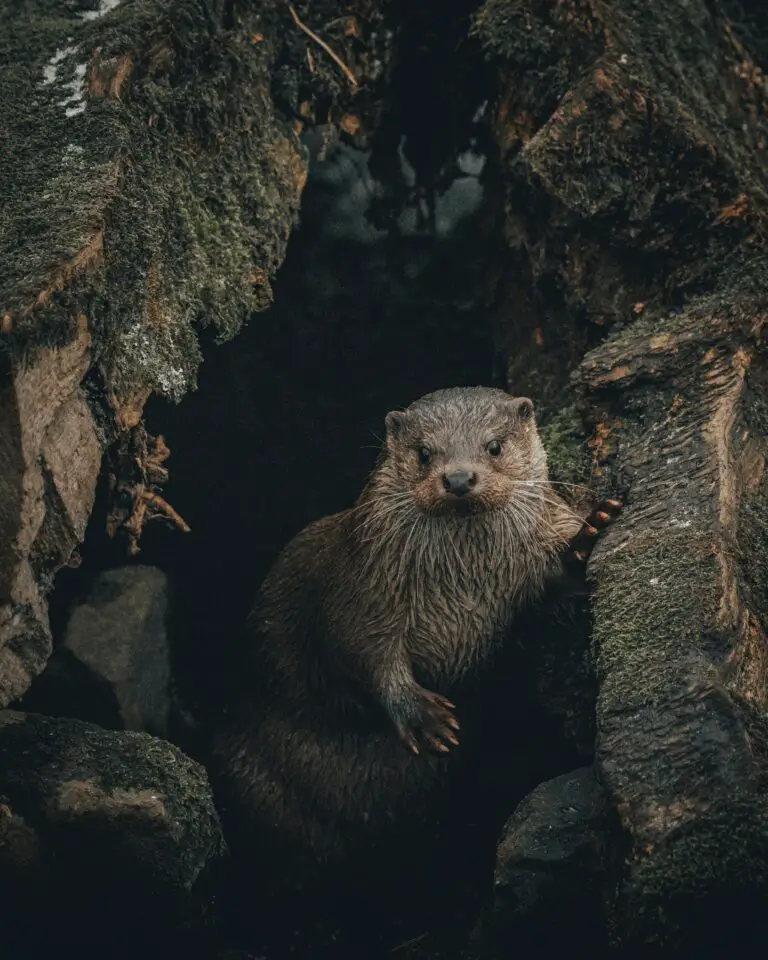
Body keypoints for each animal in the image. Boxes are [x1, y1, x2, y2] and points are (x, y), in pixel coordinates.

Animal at [212, 388, 624, 944]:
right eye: (425, 453)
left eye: (494, 446)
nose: (459, 478)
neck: (465, 591)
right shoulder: (361, 594)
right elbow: (365, 656)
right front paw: (425, 718)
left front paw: (589, 534)